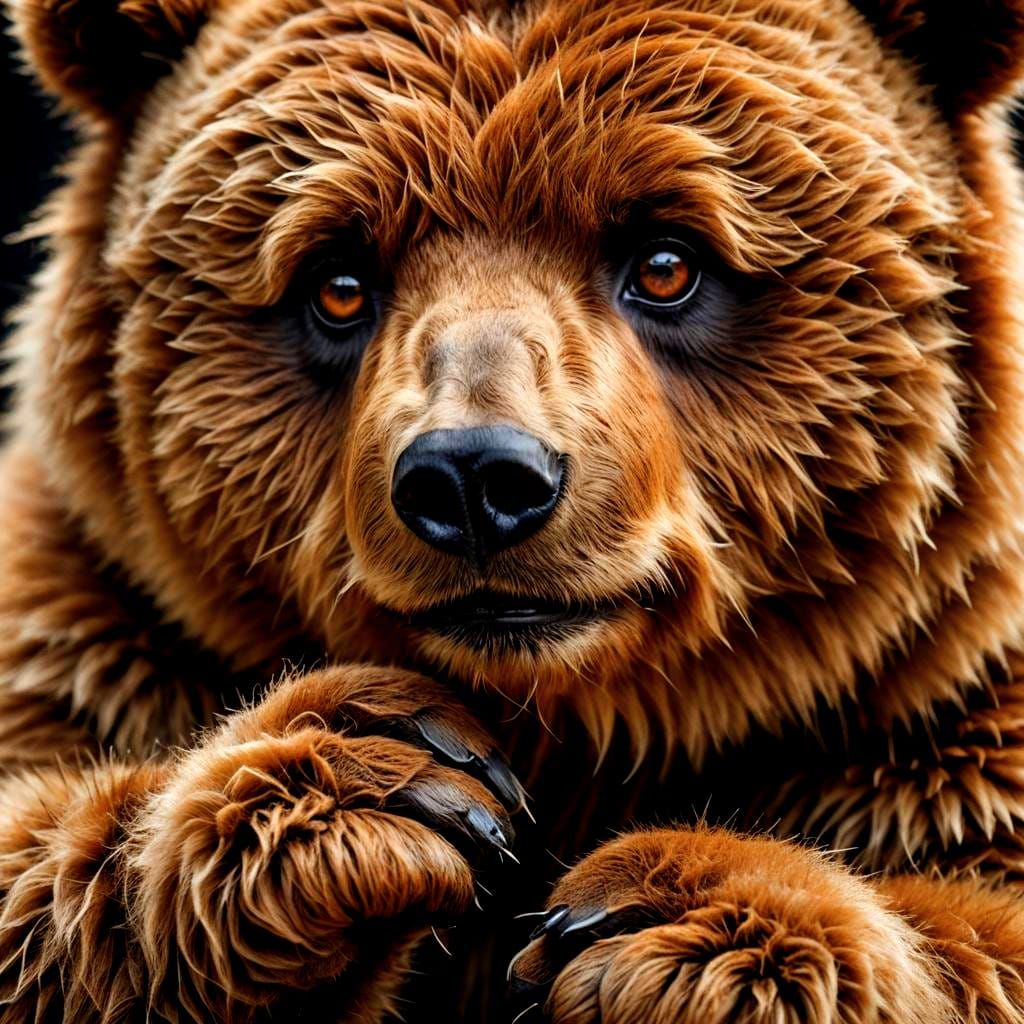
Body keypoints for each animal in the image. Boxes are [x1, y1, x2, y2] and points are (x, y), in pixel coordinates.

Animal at [4, 0, 1024, 1020]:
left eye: (667, 262)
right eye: (337, 282)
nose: (473, 478)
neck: (570, 730)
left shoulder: (948, 715)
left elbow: (986, 928)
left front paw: (661, 920)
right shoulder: (91, 637)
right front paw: (390, 766)